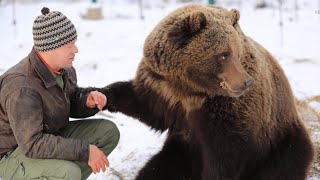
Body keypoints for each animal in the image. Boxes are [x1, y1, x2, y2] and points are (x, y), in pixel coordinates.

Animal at [102, 3, 316, 180]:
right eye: (223, 54)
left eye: (237, 52)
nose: (246, 82)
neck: (191, 90)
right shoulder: (162, 90)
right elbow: (144, 105)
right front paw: (103, 94)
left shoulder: (226, 113)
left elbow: (225, 156)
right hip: (182, 149)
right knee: (159, 167)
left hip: (279, 141)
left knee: (284, 165)